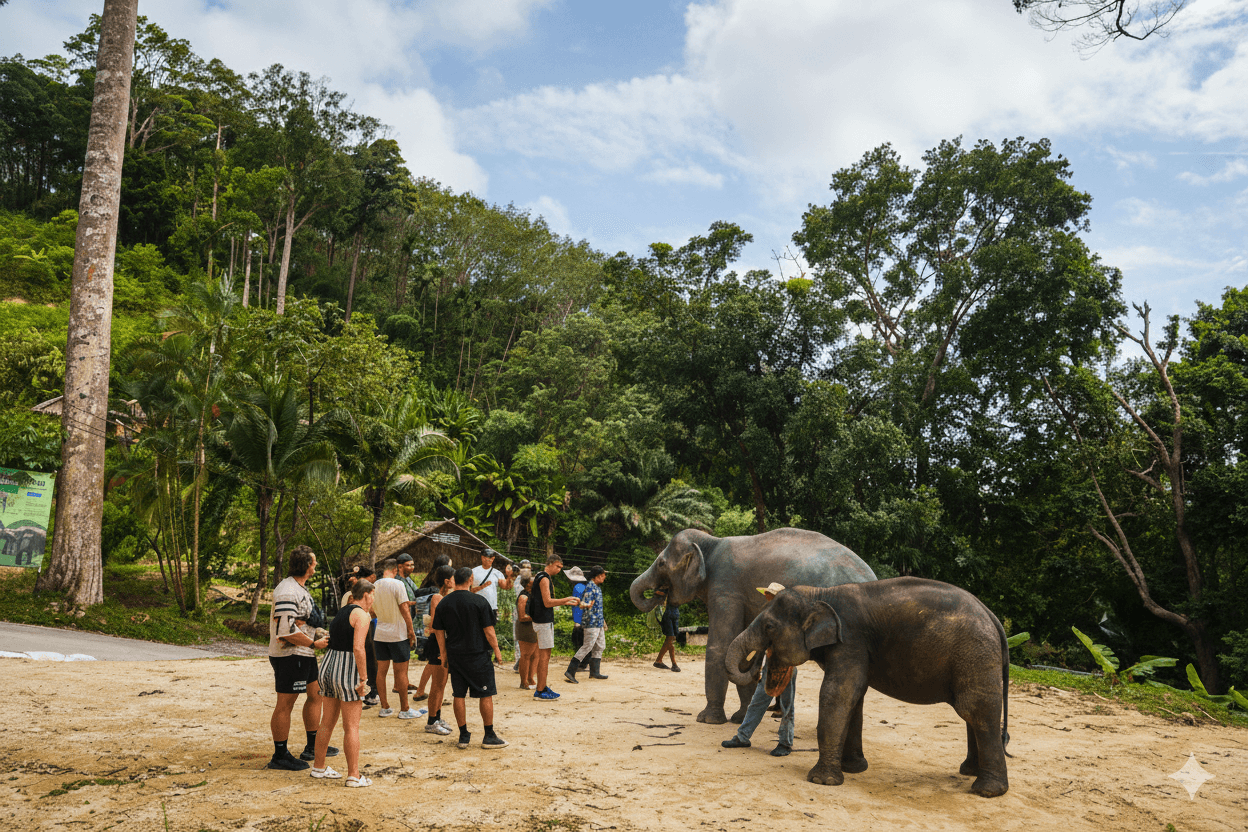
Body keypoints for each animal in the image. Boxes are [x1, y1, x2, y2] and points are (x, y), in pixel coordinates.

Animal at [630, 528, 876, 724]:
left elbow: (721, 645)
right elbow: (740, 651)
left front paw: (708, 720)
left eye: (661, 563)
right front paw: (740, 718)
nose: (659, 593)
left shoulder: (725, 588)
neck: (711, 543)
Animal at [725, 578, 1011, 797]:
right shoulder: (854, 648)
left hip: (974, 655)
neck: (820, 594)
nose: (757, 667)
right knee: (972, 713)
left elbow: (837, 694)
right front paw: (853, 769)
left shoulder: (850, 641)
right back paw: (970, 772)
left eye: (769, 626)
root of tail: (993, 617)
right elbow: (854, 698)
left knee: (975, 710)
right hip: (974, 659)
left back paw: (987, 791)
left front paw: (821, 781)